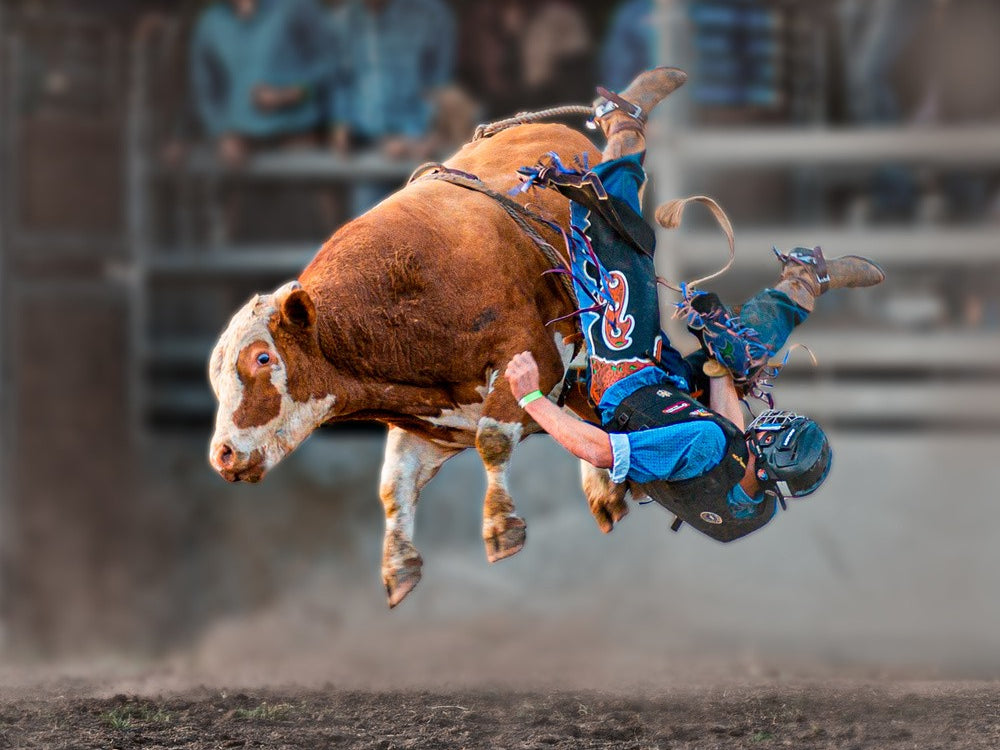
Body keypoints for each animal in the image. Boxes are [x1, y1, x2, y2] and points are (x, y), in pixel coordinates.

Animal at [208, 123, 630, 607]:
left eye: (262, 357)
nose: (222, 454)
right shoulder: (435, 420)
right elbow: (395, 484)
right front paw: (399, 564)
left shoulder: (534, 354)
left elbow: (493, 437)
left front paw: (501, 525)